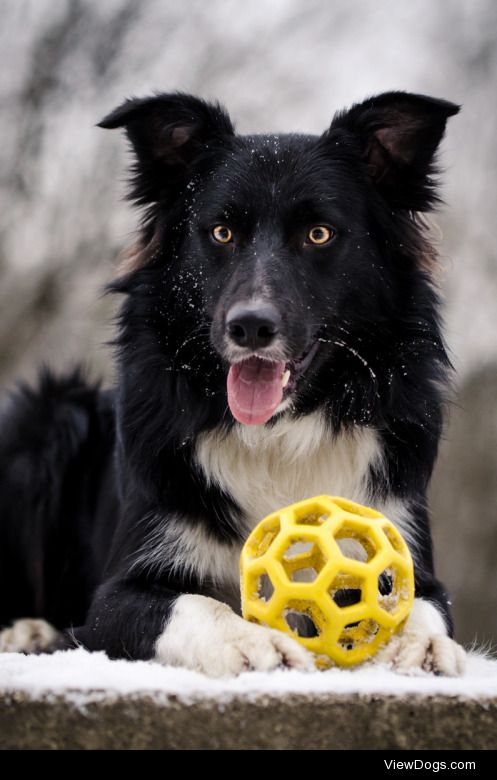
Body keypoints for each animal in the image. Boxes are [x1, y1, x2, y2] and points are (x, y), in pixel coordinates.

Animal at [0, 91, 464, 676]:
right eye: (222, 233)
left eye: (319, 234)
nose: (250, 326)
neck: (280, 432)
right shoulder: (117, 594)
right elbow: (193, 604)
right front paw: (250, 641)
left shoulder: (406, 544)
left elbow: (419, 602)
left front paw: (418, 642)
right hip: (44, 416)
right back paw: (26, 630)